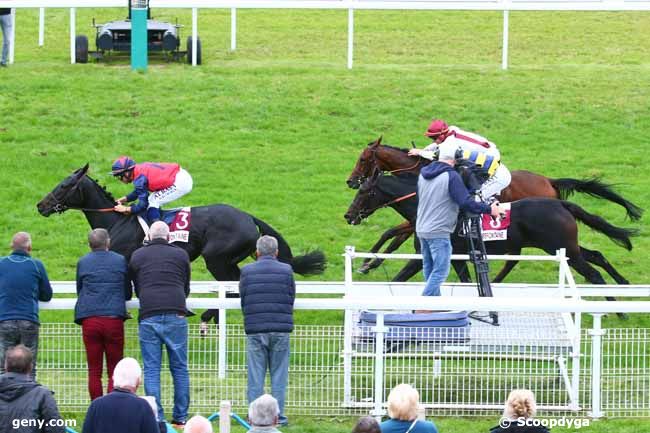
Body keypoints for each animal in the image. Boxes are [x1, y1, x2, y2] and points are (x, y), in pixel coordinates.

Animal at [36, 165, 324, 320]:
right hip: (227, 260)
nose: (41, 205)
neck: (116, 222)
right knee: (235, 287)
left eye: (64, 185)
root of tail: (247, 216)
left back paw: (208, 315)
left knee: (231, 288)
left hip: (217, 258)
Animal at [344, 172, 632, 294]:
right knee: (596, 255)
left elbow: (399, 277)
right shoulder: (456, 257)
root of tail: (560, 202)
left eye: (364, 192)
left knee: (593, 272)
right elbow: (463, 281)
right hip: (564, 246)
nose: (348, 215)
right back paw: (624, 284)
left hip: (560, 247)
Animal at [346, 137, 640, 276]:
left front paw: (368, 262)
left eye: (363, 159)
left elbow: (391, 234)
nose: (350, 181)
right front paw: (368, 263)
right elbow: (392, 236)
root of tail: (550, 182)